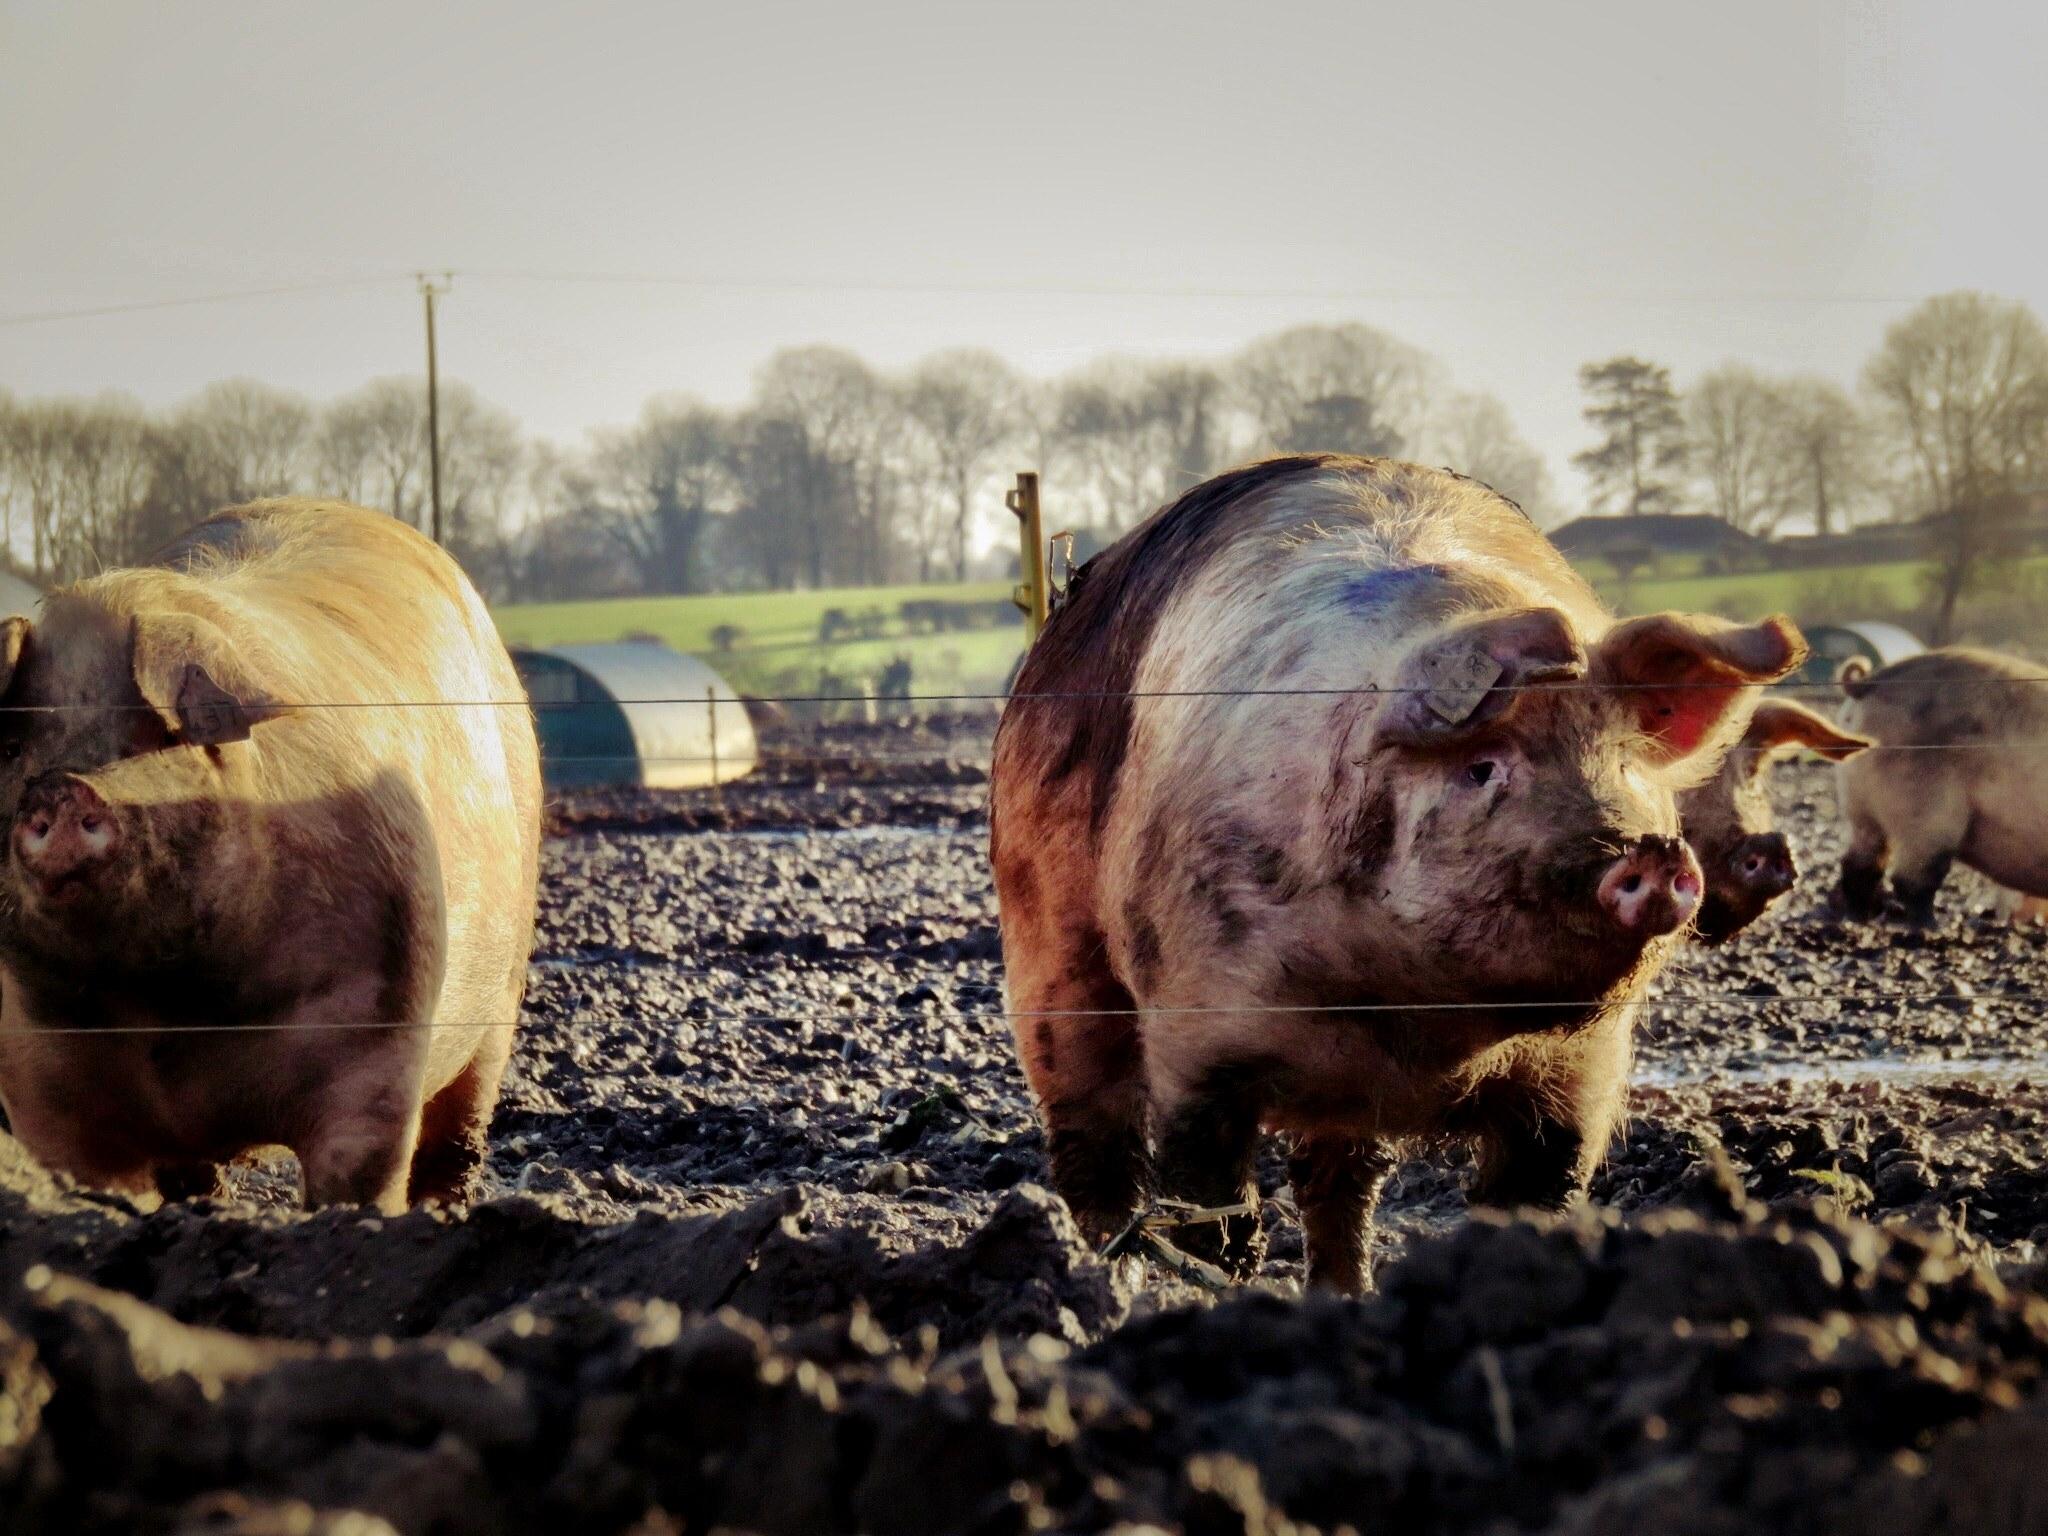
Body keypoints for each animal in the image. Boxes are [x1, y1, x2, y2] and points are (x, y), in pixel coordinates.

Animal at [0, 499, 542, 1213]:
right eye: (16, 745)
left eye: (162, 736)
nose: (59, 787)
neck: (169, 1014)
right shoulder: (39, 1088)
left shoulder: (382, 1041)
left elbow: (363, 1173)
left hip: (504, 986)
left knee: (462, 1127)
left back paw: (445, 1209)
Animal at [990, 454, 1805, 1293]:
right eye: (1482, 767)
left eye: (1624, 761)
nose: (1649, 851)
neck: (1421, 1022)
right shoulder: (1197, 1031)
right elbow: (1210, 1203)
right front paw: (1220, 1282)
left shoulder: (1580, 1070)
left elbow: (1540, 1190)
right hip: (1047, 937)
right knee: (1090, 1125)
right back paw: (1095, 1261)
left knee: (1336, 1185)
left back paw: (1344, 1292)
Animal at [1833, 647, 2048, 924]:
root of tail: (1869, 681)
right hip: (1925, 813)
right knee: (1911, 878)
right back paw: (1931, 925)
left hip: (1859, 806)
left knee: (1859, 864)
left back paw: (1858, 917)